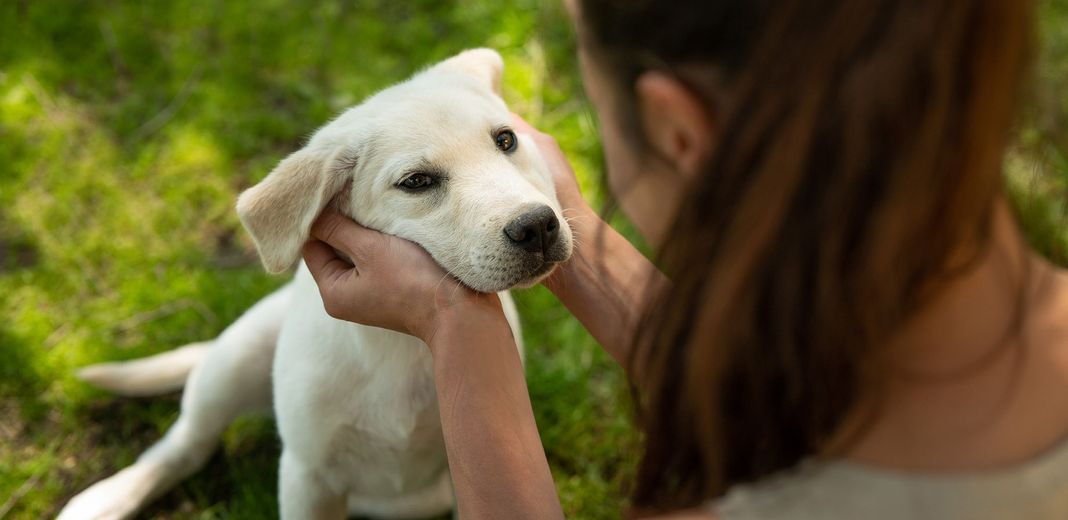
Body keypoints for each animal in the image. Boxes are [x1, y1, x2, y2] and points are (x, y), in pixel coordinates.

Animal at [56, 46, 576, 518]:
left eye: (506, 140)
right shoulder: (308, 475)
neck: (403, 345)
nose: (537, 227)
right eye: (417, 182)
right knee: (188, 443)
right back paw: (107, 499)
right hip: (236, 358)